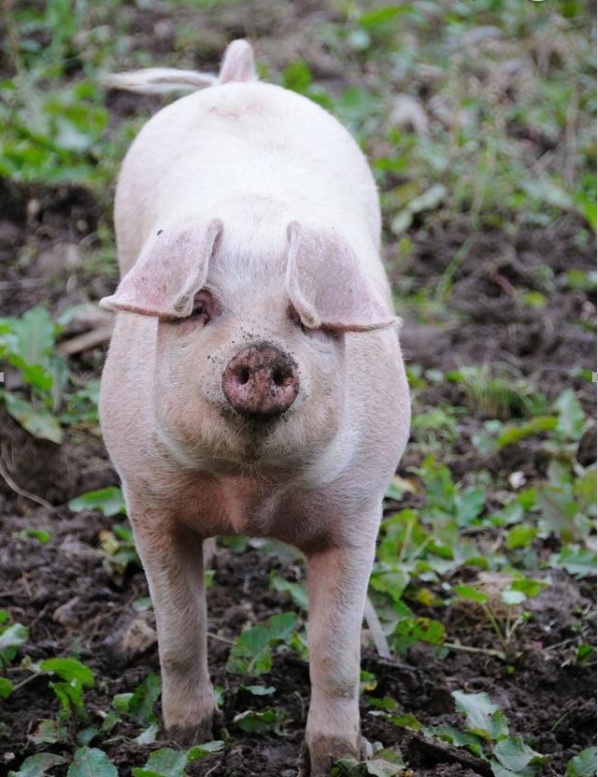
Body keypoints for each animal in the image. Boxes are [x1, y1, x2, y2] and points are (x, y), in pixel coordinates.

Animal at [101, 41, 412, 776]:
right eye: (201, 306)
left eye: (305, 316)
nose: (263, 353)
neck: (250, 492)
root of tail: (238, 81)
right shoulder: (145, 496)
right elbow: (180, 629)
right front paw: (190, 739)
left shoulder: (359, 508)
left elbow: (334, 652)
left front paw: (338, 759)